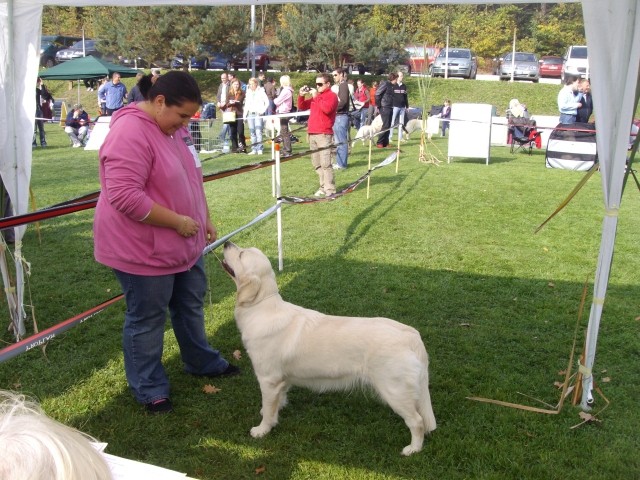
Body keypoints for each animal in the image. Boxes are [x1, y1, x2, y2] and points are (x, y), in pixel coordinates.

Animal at [220, 242, 436, 456]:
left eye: (241, 254)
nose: (226, 242)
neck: (261, 306)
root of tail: (411, 335)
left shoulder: (268, 379)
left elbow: (268, 407)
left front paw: (262, 429)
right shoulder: (281, 380)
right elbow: (276, 402)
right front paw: (272, 412)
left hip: (394, 390)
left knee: (417, 421)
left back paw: (413, 449)